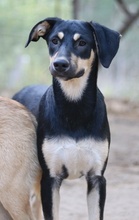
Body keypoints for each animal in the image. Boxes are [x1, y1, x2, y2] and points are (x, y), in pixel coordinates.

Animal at [13, 17, 120, 220]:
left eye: (82, 43)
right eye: (54, 40)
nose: (60, 64)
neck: (74, 108)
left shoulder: (97, 179)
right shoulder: (50, 178)